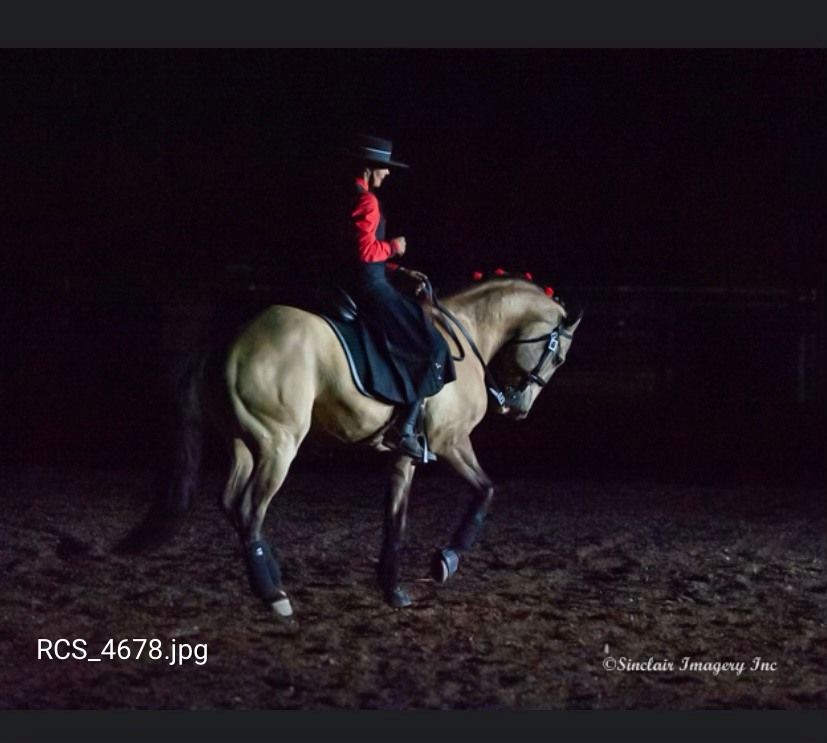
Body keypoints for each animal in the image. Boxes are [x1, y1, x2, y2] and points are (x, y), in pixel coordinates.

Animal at [115, 276, 584, 620]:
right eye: (559, 358)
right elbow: (485, 490)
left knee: (232, 504)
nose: (518, 408)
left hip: (244, 444)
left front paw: (393, 588)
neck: (465, 339)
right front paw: (445, 562)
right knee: (249, 509)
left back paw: (270, 577)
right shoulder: (452, 441)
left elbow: (395, 519)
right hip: (278, 445)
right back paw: (274, 596)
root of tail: (226, 344)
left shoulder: (405, 455)